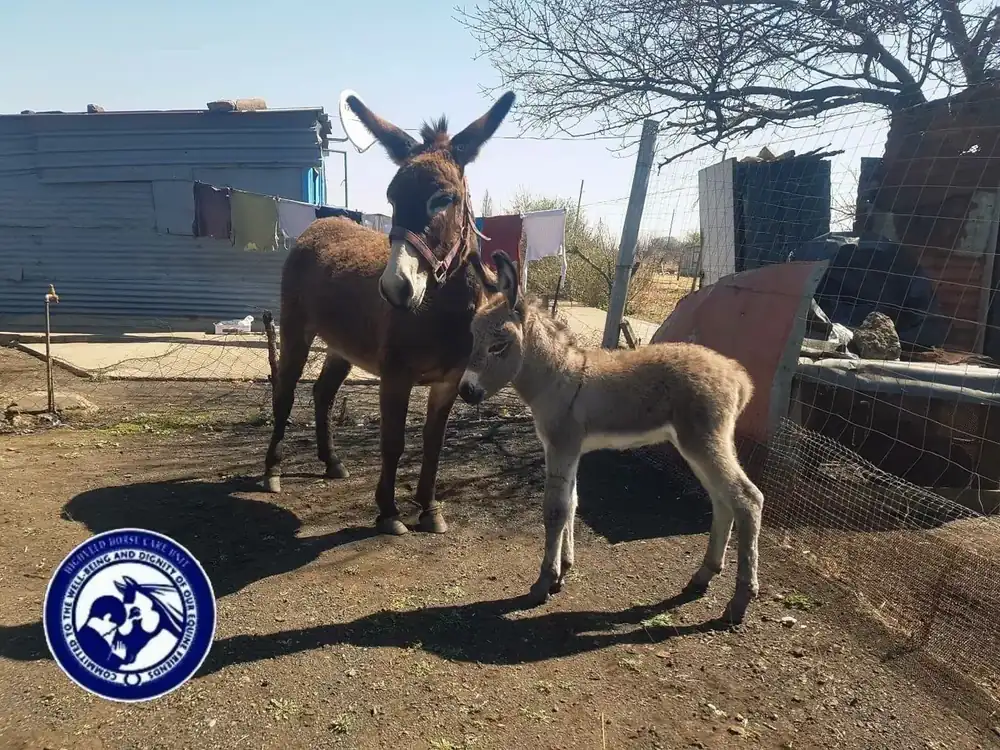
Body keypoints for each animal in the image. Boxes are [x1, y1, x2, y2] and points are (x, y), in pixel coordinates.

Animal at [263, 91, 515, 536]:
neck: (441, 311)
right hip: (296, 330)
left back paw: (331, 462)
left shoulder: (449, 381)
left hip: (341, 345)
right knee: (286, 393)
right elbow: (393, 441)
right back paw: (272, 471)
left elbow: (434, 442)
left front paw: (430, 508)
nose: (396, 289)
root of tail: (321, 224)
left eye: (444, 199)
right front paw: (388, 512)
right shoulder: (396, 377)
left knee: (323, 392)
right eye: (393, 198)